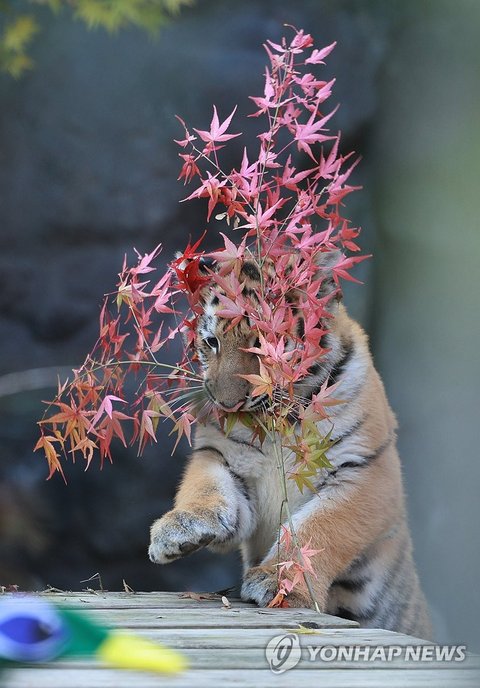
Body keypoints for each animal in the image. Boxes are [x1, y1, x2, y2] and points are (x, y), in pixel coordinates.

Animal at [148, 254, 433, 639]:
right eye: (211, 342)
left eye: (263, 345)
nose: (225, 403)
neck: (277, 422)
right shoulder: (222, 456)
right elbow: (205, 485)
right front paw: (182, 530)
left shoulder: (366, 470)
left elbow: (319, 527)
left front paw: (276, 581)